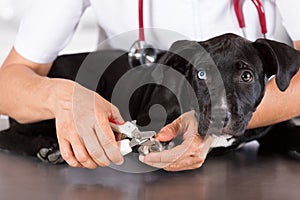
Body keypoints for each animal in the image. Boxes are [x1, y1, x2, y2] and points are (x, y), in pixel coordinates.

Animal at [0, 33, 300, 164]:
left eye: (246, 76)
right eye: (201, 74)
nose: (219, 116)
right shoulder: (146, 120)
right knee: (8, 134)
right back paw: (45, 147)